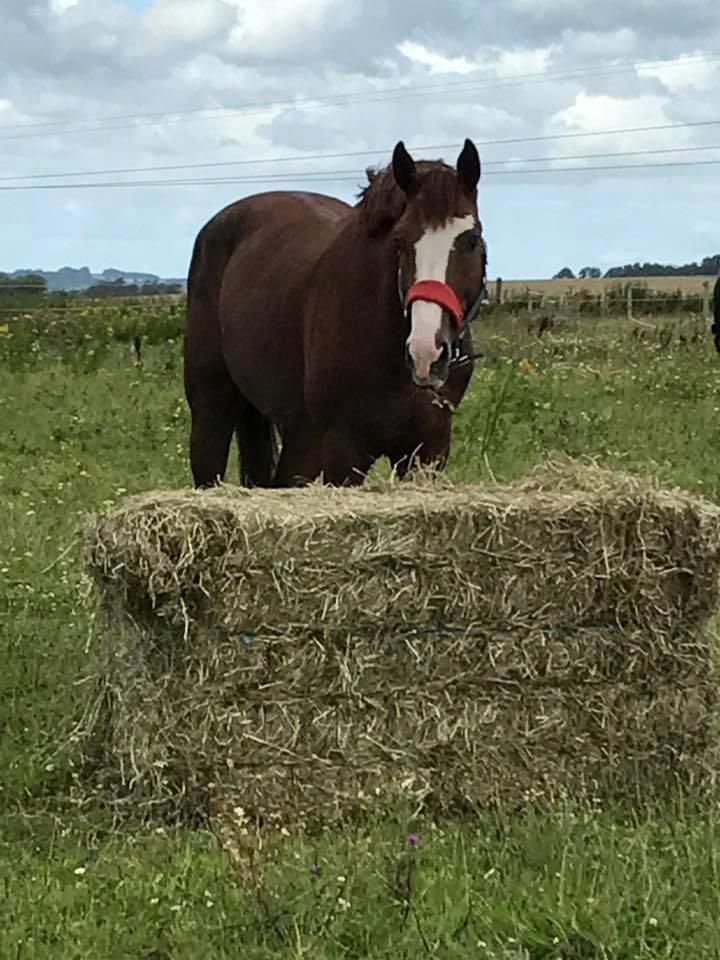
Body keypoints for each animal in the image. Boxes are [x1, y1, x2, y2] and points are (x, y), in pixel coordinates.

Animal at [184, 135, 490, 488]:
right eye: (400, 241)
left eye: (472, 240)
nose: (426, 353)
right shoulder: (343, 452)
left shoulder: (427, 451)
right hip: (212, 408)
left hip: (298, 434)